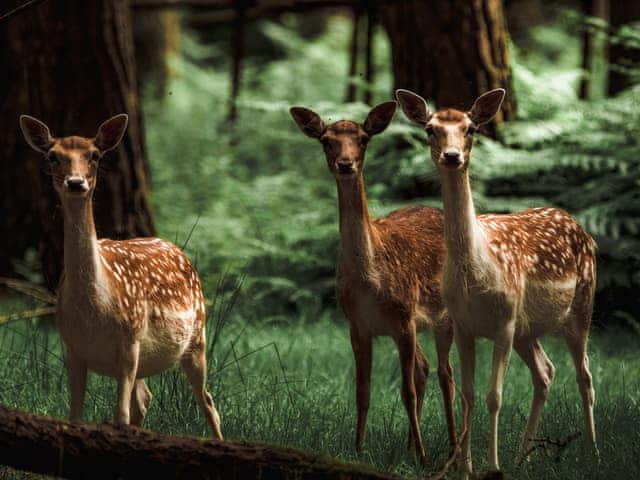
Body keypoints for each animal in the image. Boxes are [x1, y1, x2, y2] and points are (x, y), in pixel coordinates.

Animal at [20, 113, 224, 438]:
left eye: (95, 155)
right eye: (53, 156)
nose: (75, 182)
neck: (95, 307)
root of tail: (176, 248)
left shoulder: (130, 338)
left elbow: (120, 416)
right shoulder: (72, 347)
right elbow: (75, 415)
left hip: (197, 336)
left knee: (208, 403)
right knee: (146, 399)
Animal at [290, 102, 456, 462]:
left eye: (363, 139)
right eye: (326, 140)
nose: (345, 163)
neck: (370, 282)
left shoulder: (404, 317)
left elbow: (406, 391)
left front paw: (423, 456)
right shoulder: (357, 325)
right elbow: (362, 391)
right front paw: (358, 449)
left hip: (443, 316)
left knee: (445, 375)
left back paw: (450, 447)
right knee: (424, 369)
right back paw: (411, 446)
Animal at [398, 88, 596, 474]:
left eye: (471, 128)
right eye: (430, 128)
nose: (452, 156)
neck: (476, 271)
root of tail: (582, 229)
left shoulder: (504, 320)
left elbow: (494, 397)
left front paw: (492, 466)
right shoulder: (463, 324)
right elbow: (468, 395)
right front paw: (465, 469)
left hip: (581, 306)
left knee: (585, 377)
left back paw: (593, 454)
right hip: (527, 329)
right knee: (545, 372)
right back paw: (522, 457)